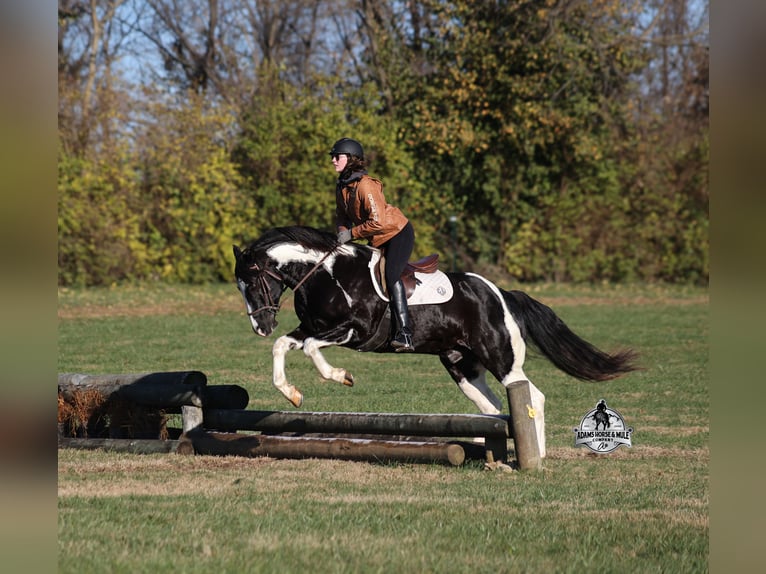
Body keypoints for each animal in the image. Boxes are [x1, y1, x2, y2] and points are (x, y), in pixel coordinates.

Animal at [233, 226, 637, 412]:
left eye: (252, 282)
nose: (260, 326)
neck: (326, 274)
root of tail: (499, 294)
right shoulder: (312, 328)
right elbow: (283, 346)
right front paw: (292, 393)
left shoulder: (354, 331)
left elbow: (312, 350)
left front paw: (341, 376)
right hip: (462, 366)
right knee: (490, 406)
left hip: (502, 359)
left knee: (530, 396)